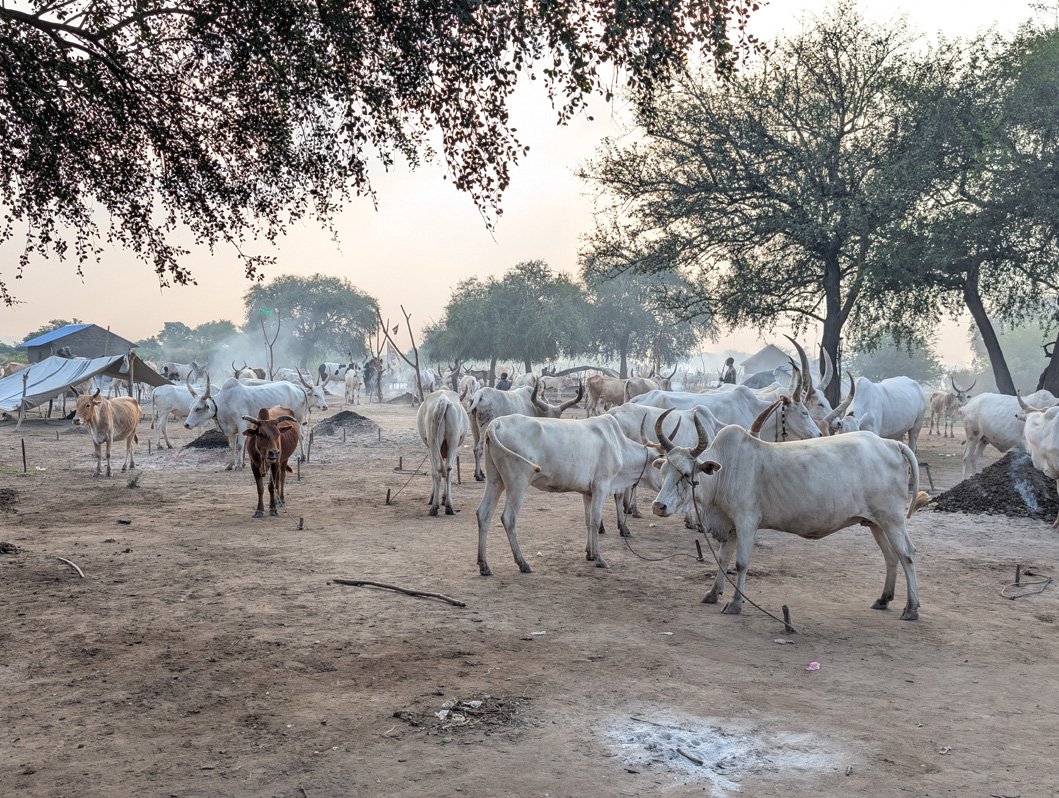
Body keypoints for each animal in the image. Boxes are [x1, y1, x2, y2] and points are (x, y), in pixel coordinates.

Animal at [183, 374, 327, 470]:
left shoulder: (242, 425)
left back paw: (302, 457)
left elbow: (239, 446)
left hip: (298, 418)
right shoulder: (231, 430)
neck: (225, 402)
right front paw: (230, 465)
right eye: (190, 407)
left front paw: (239, 466)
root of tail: (296, 386)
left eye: (198, 408)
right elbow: (232, 447)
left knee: (301, 436)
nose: (186, 424)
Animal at [475, 413, 666, 575]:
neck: (619, 446)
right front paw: (599, 558)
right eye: (663, 467)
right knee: (509, 519)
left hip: (495, 480)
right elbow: (595, 521)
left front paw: (589, 553)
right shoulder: (601, 487)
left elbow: (588, 521)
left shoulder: (587, 492)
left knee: (483, 514)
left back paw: (484, 565)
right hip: (518, 482)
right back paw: (522, 563)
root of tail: (496, 423)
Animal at [648, 410, 925, 621]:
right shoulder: (730, 525)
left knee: (907, 555)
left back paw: (911, 608)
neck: (725, 470)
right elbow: (723, 559)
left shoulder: (747, 521)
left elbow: (741, 563)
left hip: (892, 519)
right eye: (663, 471)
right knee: (891, 557)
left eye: (686, 474)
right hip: (875, 522)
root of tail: (892, 444)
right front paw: (713, 593)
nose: (658, 506)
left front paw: (736, 603)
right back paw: (884, 598)